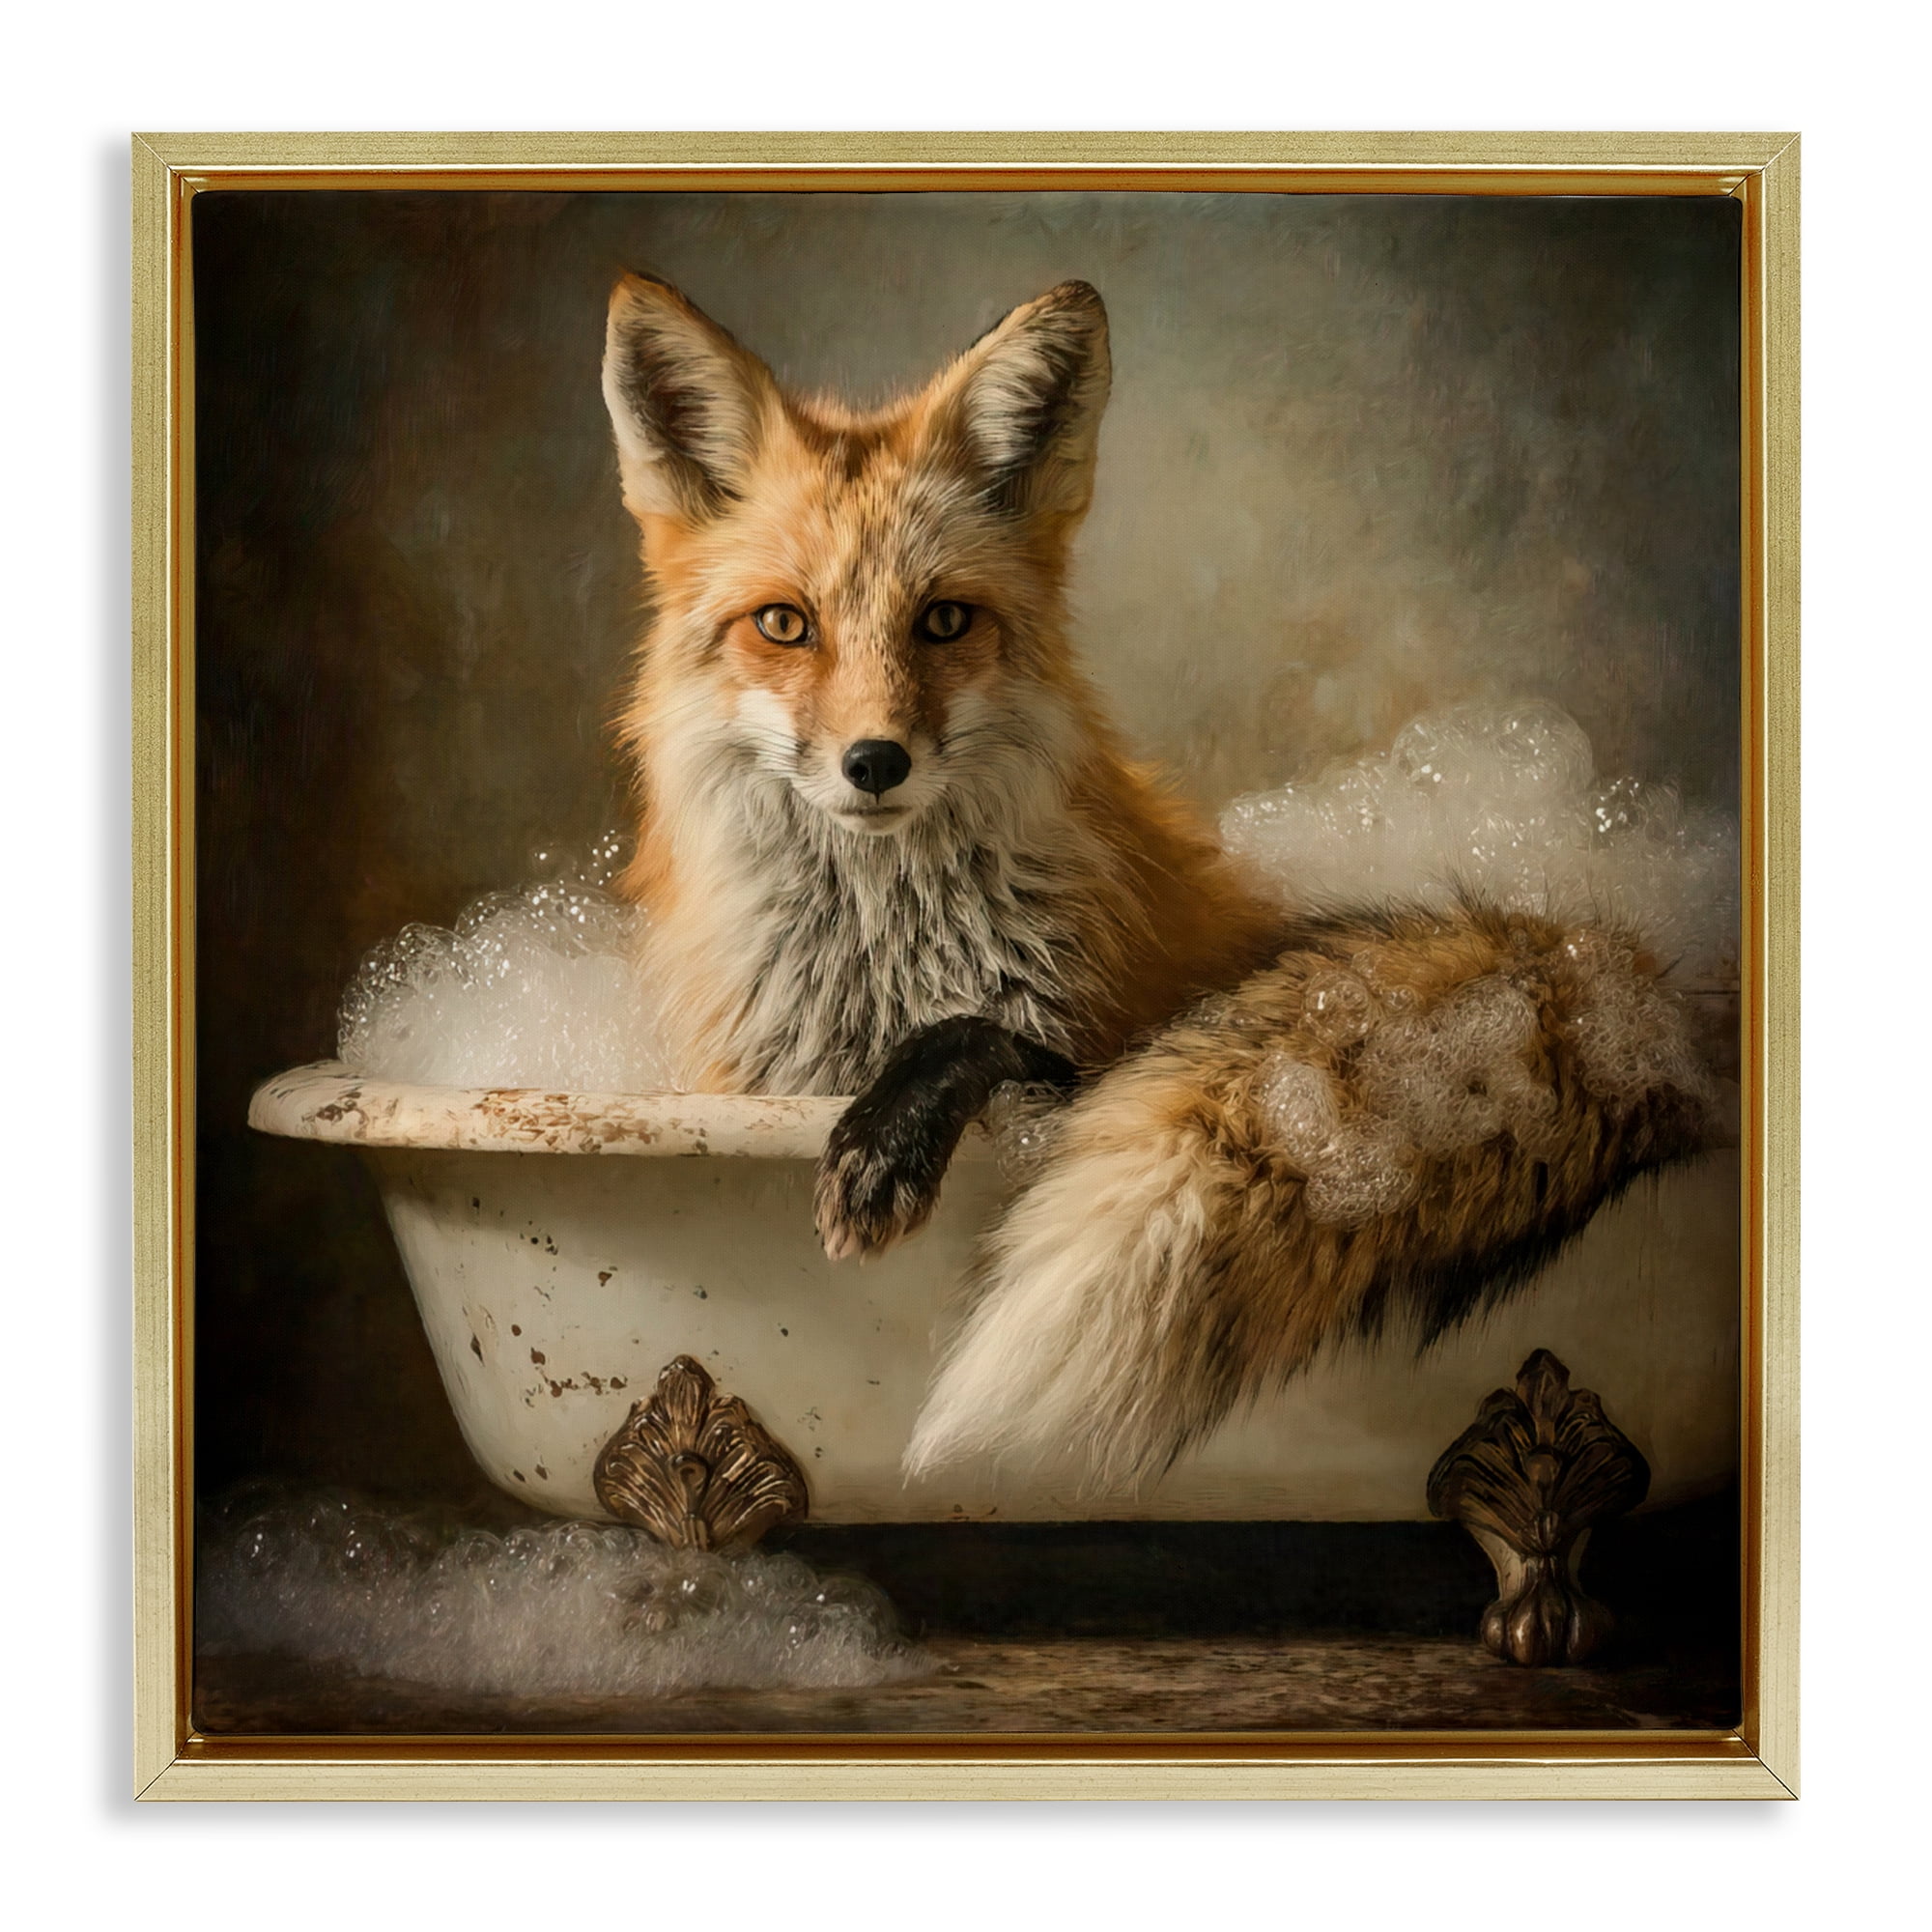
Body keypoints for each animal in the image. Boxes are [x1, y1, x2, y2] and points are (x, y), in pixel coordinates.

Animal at [599, 271, 1715, 1487]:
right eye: (783, 624)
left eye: (942, 620)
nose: (875, 761)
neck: (884, 964)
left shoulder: (1092, 1039)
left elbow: (975, 1031)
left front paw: (883, 1141)